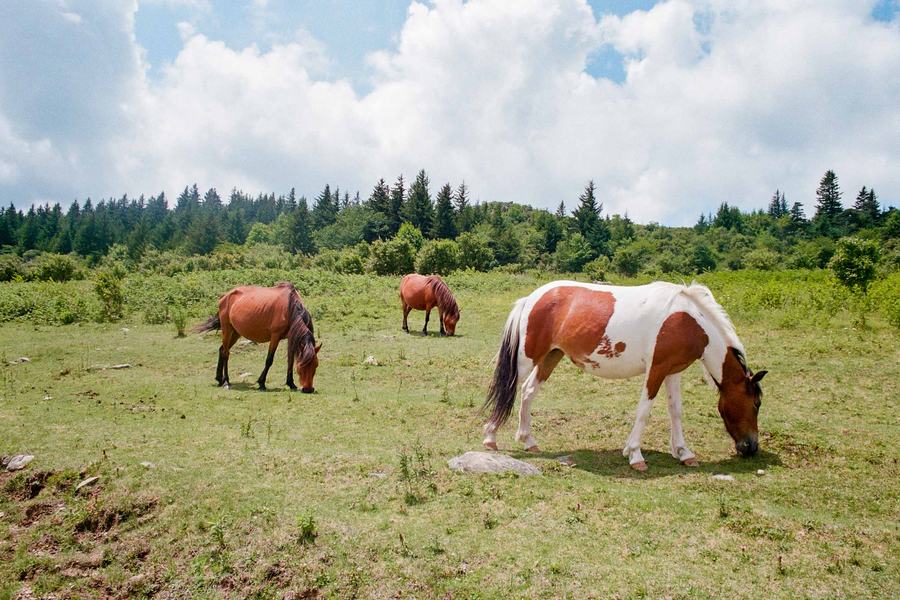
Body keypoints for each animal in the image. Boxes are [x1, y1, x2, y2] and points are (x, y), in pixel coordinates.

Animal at [482, 280, 766, 471]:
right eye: (756, 403)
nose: (751, 447)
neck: (688, 319)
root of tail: (531, 298)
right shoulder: (657, 369)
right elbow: (644, 411)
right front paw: (635, 454)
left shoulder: (673, 371)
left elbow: (675, 411)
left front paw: (684, 452)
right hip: (527, 358)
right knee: (510, 389)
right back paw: (490, 438)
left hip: (551, 356)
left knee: (528, 391)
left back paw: (528, 440)